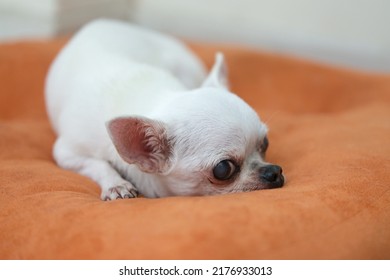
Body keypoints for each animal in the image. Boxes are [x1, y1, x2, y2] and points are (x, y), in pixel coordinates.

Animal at [45, 18, 284, 200]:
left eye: (265, 143)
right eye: (223, 169)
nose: (274, 171)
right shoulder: (67, 152)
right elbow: (97, 164)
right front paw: (116, 183)